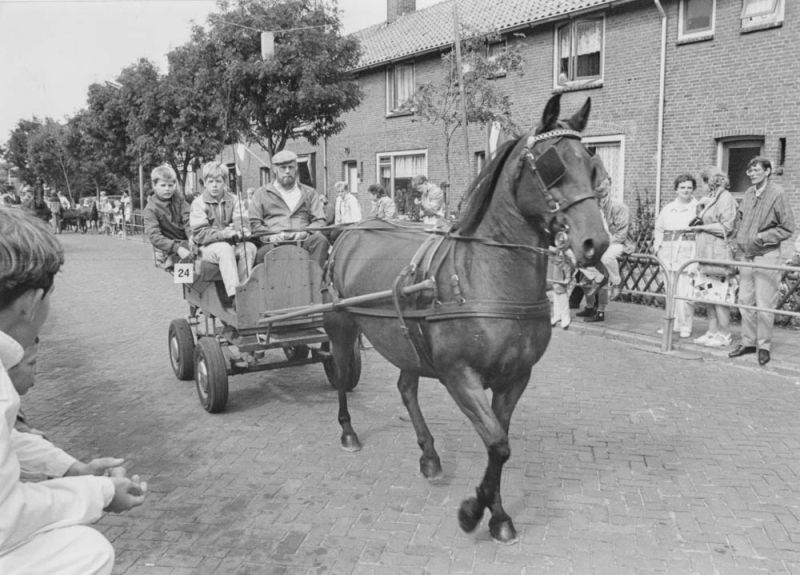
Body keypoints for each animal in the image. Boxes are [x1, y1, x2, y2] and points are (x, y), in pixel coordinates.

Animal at [320, 95, 608, 544]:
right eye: (551, 165)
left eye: (594, 167)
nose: (596, 242)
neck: (486, 277)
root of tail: (350, 230)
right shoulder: (459, 376)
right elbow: (498, 444)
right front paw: (473, 510)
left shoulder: (515, 378)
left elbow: (499, 444)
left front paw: (497, 514)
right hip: (341, 328)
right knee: (342, 374)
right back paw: (348, 431)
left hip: (404, 340)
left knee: (406, 388)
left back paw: (429, 455)